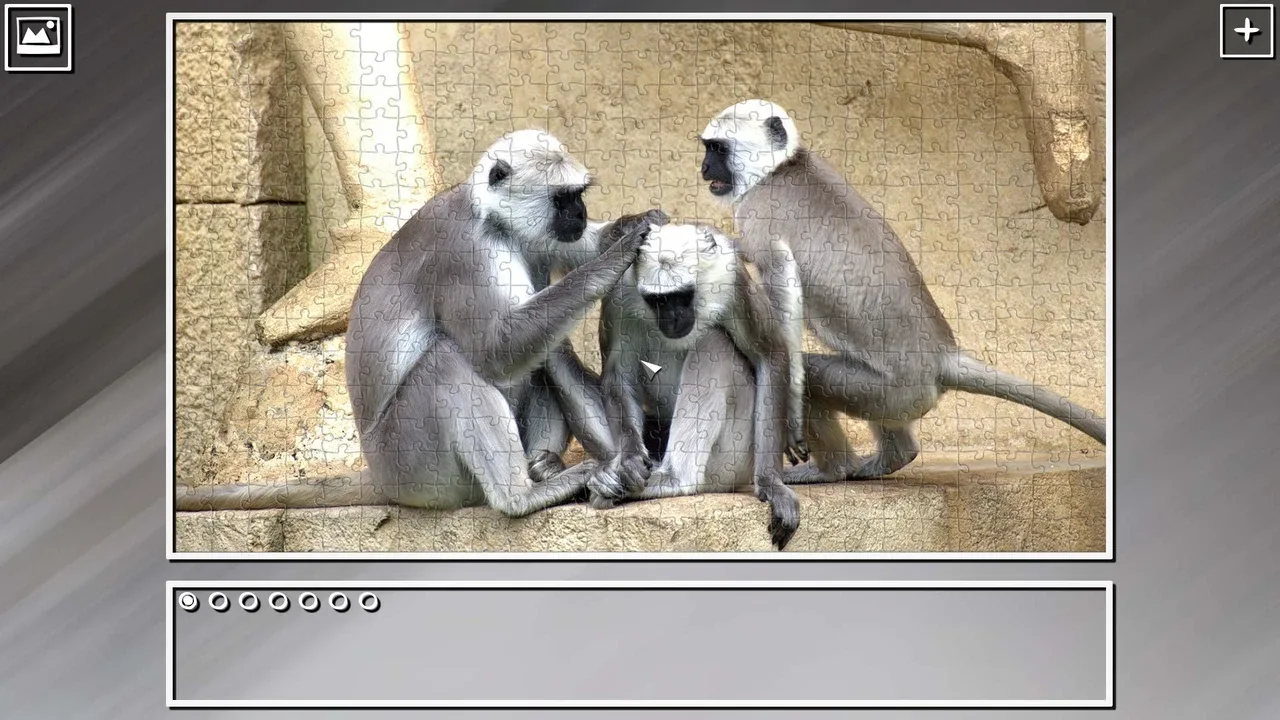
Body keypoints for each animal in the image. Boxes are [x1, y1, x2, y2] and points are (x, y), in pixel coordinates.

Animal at [175, 129, 668, 517]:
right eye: (563, 198)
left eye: (578, 197)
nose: (579, 213)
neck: (493, 220)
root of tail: (377, 472)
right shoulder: (464, 250)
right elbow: (496, 350)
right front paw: (617, 256)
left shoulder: (539, 238)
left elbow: (576, 252)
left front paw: (636, 224)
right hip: (412, 463)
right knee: (448, 361)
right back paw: (522, 496)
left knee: (548, 349)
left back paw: (560, 469)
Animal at [586, 221, 804, 550]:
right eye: (659, 300)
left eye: (682, 296)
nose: (673, 318)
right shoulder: (619, 291)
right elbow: (616, 376)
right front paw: (630, 460)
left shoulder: (731, 277)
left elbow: (771, 355)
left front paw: (772, 484)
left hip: (734, 458)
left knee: (714, 342)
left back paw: (674, 480)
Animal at [697, 99, 1107, 484]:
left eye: (717, 149)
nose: (703, 169)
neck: (781, 168)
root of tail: (941, 356)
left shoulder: (758, 215)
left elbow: (783, 294)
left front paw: (791, 416)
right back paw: (892, 457)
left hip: (895, 392)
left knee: (814, 375)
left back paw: (834, 469)